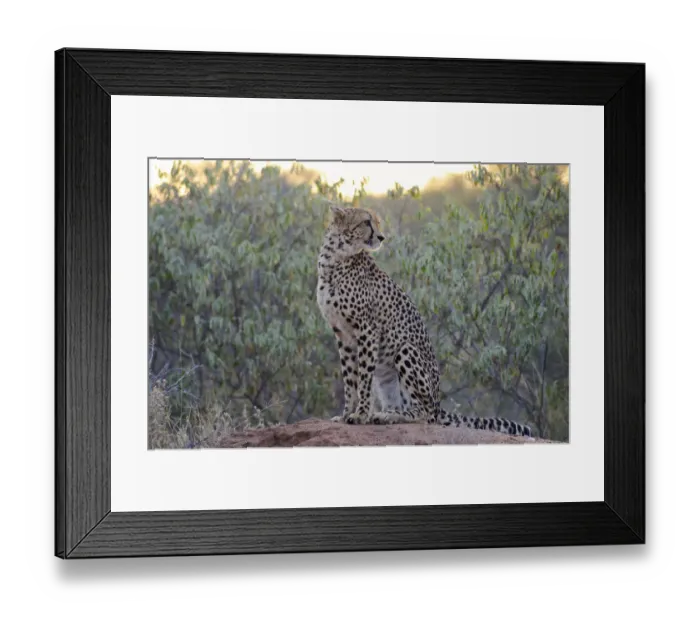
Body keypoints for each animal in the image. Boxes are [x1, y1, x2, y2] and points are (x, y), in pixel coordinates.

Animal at [315, 203, 533, 438]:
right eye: (366, 222)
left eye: (377, 222)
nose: (381, 237)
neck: (335, 258)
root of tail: (439, 404)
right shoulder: (342, 333)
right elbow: (350, 379)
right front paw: (346, 414)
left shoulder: (367, 330)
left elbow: (363, 377)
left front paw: (361, 414)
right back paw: (385, 414)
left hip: (405, 350)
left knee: (424, 414)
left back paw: (389, 416)